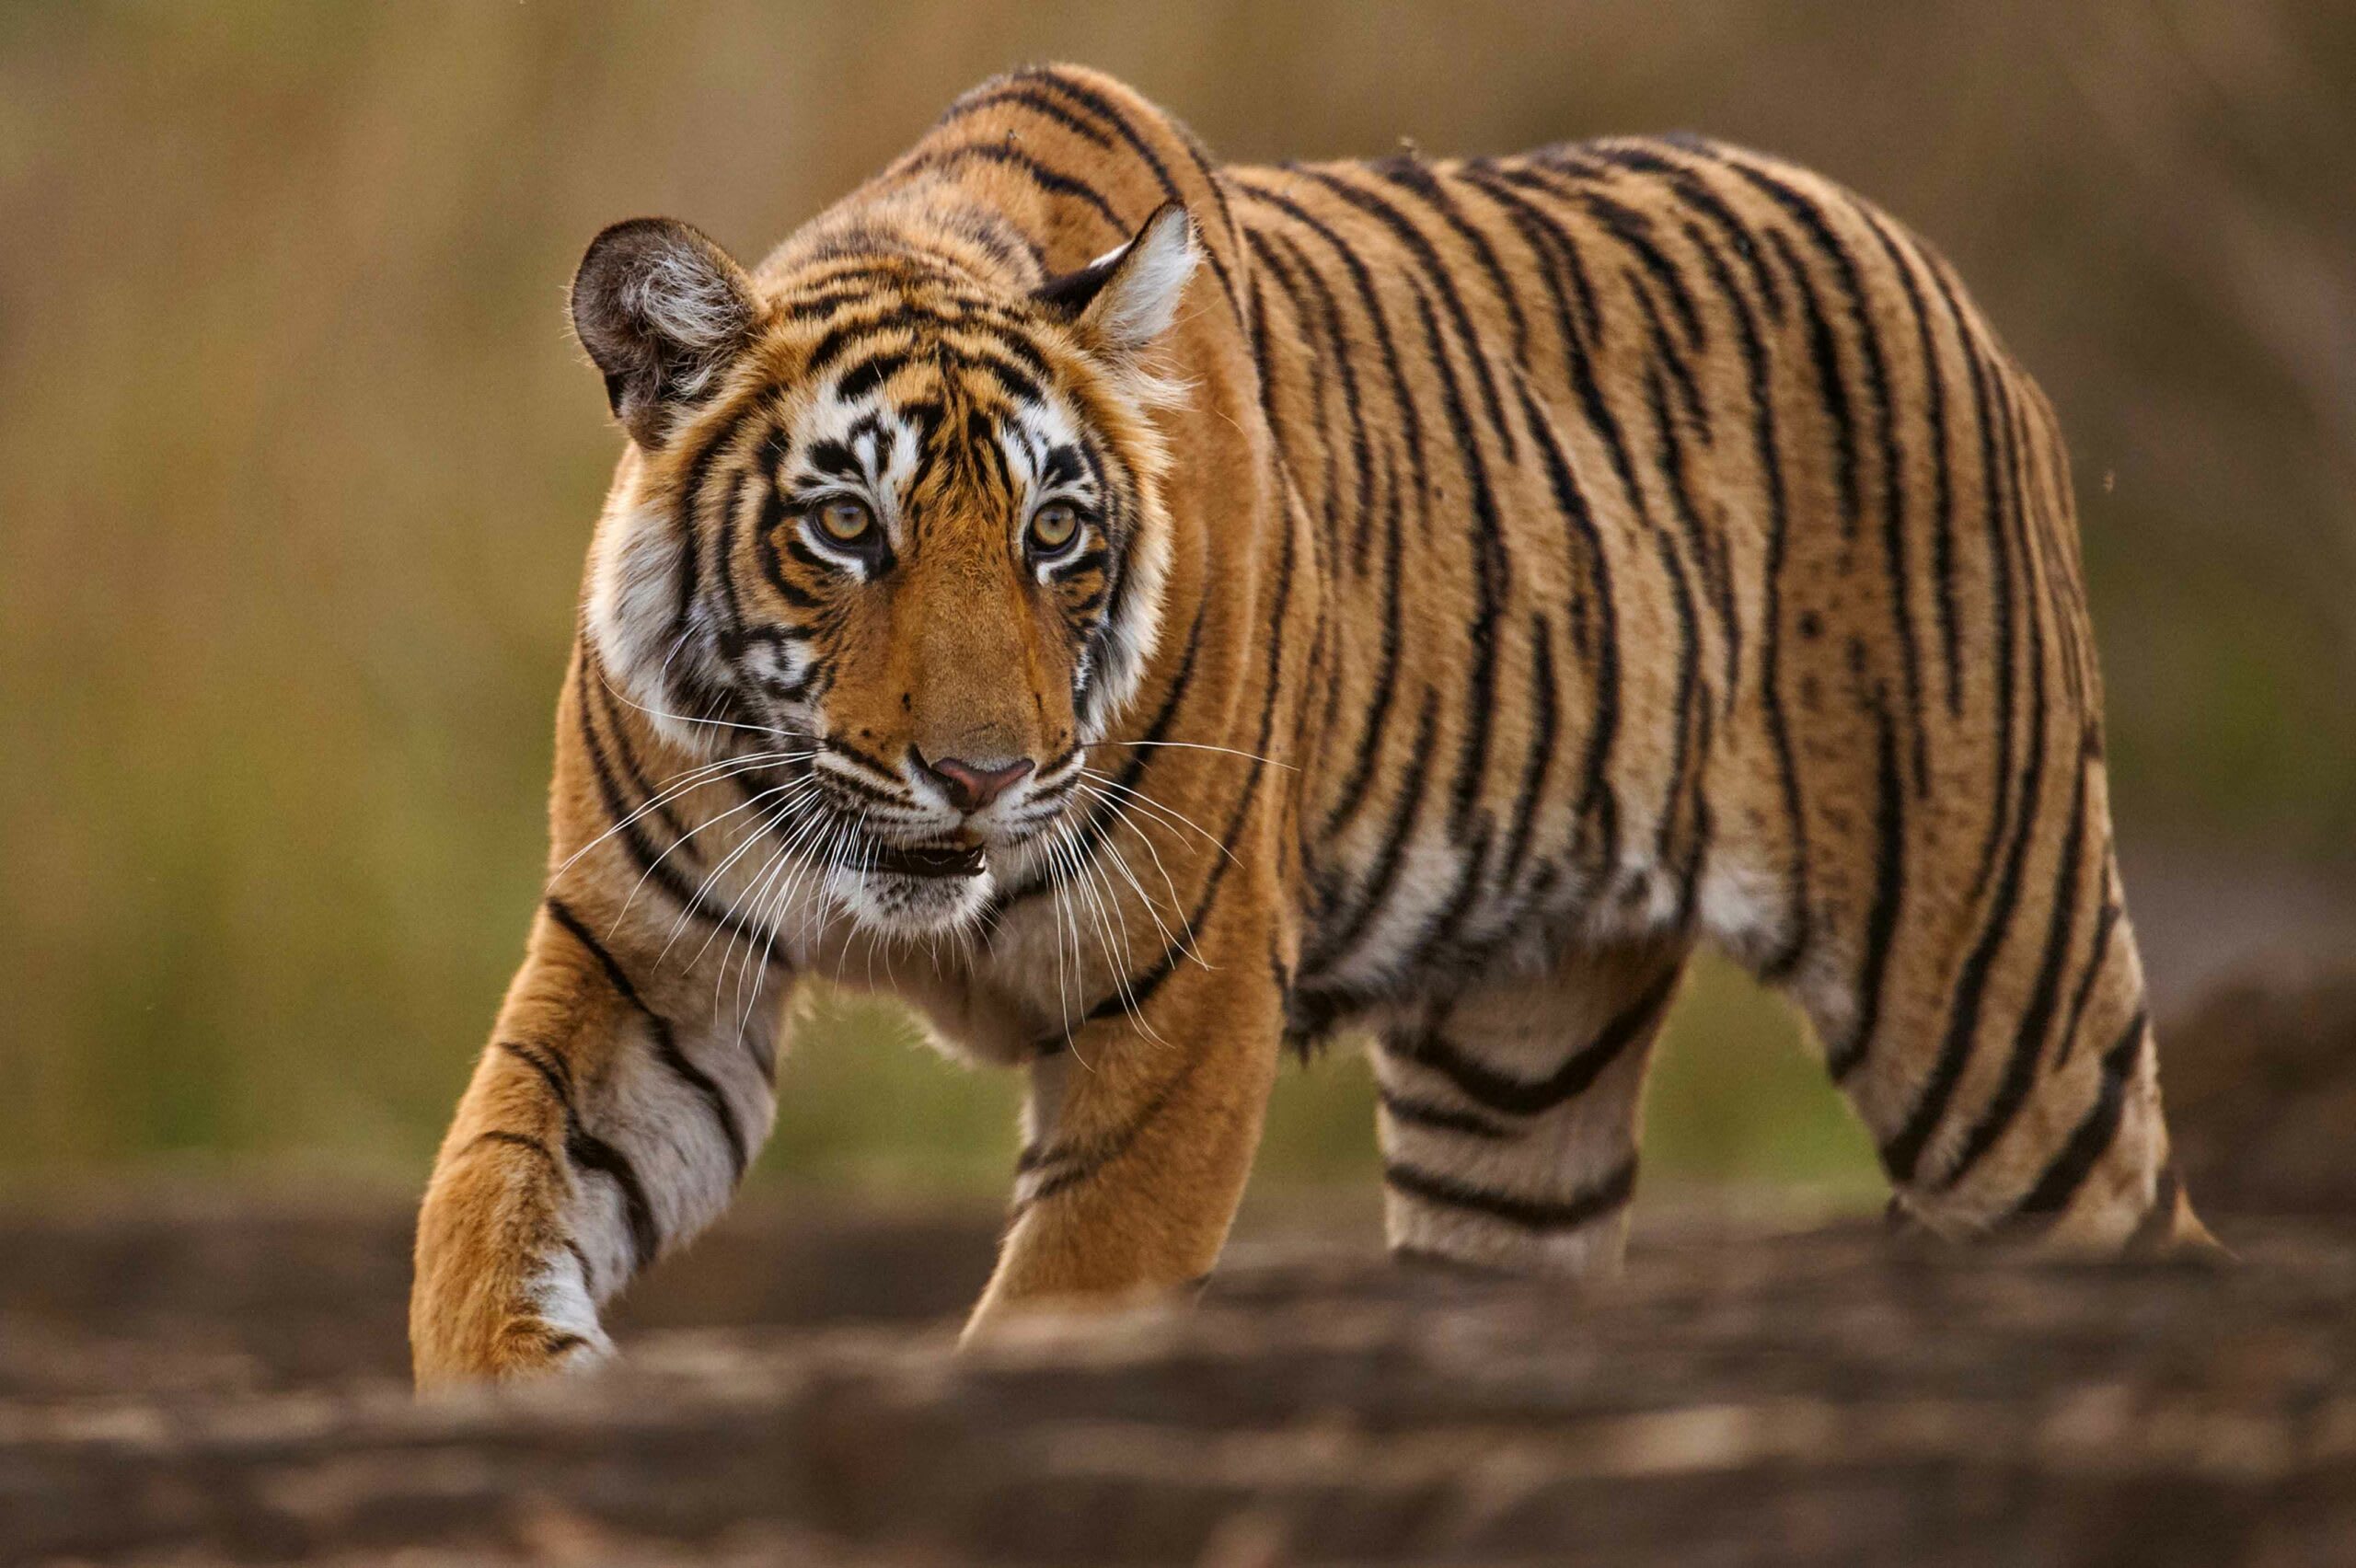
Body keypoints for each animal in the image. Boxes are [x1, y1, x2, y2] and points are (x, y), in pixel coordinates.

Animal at [411, 63, 2213, 1385]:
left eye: (1055, 534)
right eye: (846, 526)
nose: (984, 776)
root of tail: (1914, 255)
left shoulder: (1183, 1013)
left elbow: (1067, 1296)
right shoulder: (648, 963)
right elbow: (482, 1199)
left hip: (1987, 991)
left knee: (2135, 1222)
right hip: (1518, 1076)